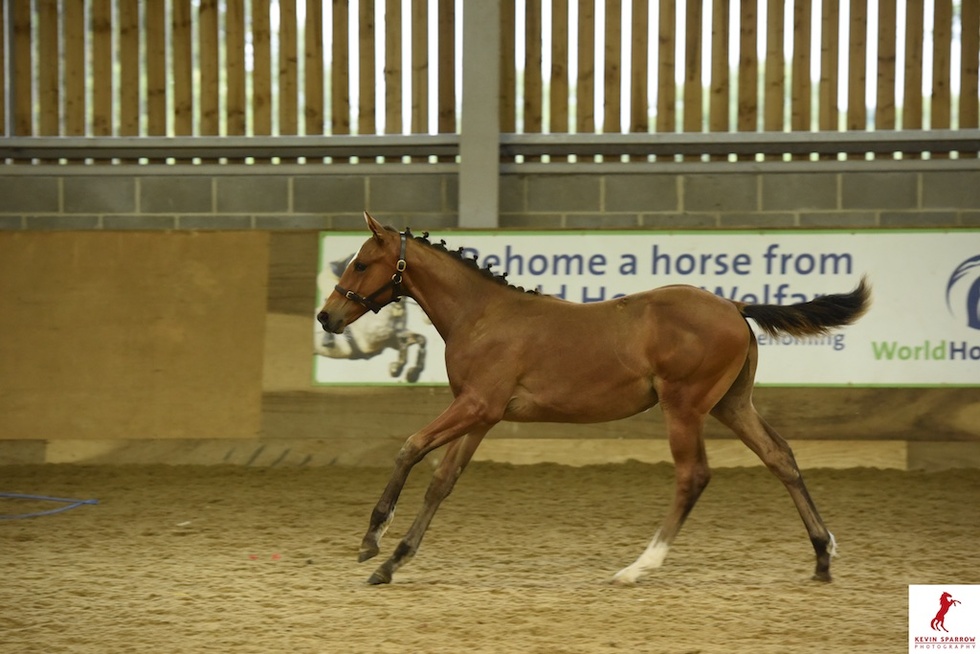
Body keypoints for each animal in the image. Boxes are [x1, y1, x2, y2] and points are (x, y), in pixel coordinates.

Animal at [317, 212, 871, 586]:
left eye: (361, 264)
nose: (327, 317)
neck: (481, 314)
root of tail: (733, 305)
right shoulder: (482, 415)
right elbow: (442, 481)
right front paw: (394, 561)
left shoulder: (475, 406)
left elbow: (410, 447)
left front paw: (372, 540)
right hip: (731, 405)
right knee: (781, 456)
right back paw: (822, 555)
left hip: (684, 406)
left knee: (693, 475)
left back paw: (638, 567)